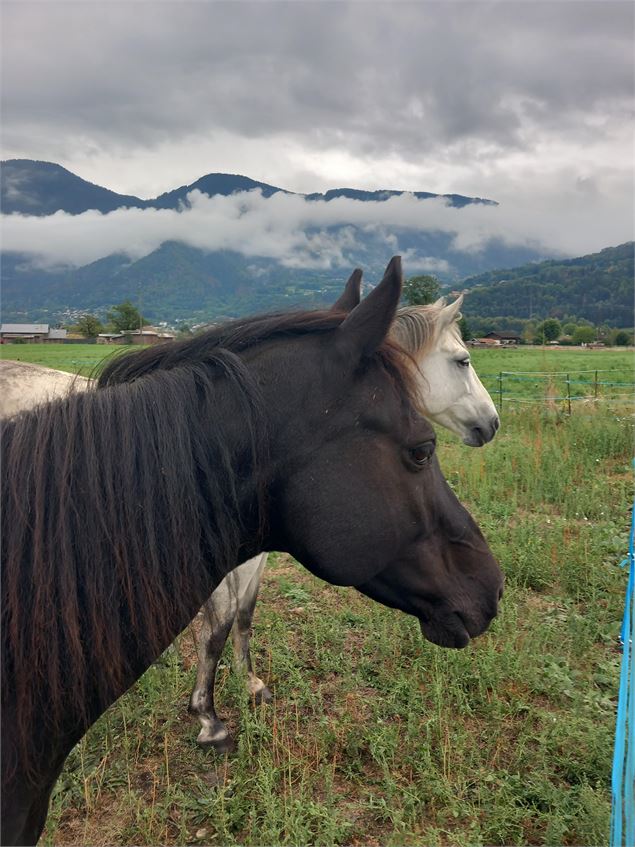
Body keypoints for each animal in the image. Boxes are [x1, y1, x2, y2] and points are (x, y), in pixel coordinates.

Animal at [1, 256, 506, 840]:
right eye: (462, 360)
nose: (491, 424)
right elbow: (218, 629)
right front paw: (209, 719)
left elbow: (243, 617)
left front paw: (251, 688)